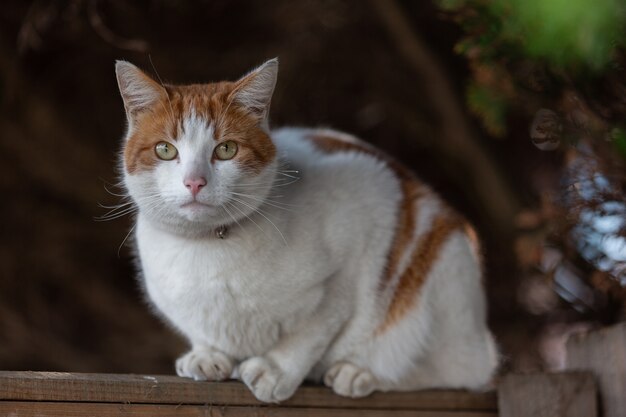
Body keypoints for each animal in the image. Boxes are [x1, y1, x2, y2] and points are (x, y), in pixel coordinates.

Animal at [116, 57, 498, 402]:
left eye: (226, 149)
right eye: (165, 150)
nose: (194, 182)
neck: (206, 248)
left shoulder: (351, 254)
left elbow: (308, 335)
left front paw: (275, 369)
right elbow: (205, 333)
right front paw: (208, 355)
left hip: (443, 281)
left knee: (456, 369)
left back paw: (360, 372)